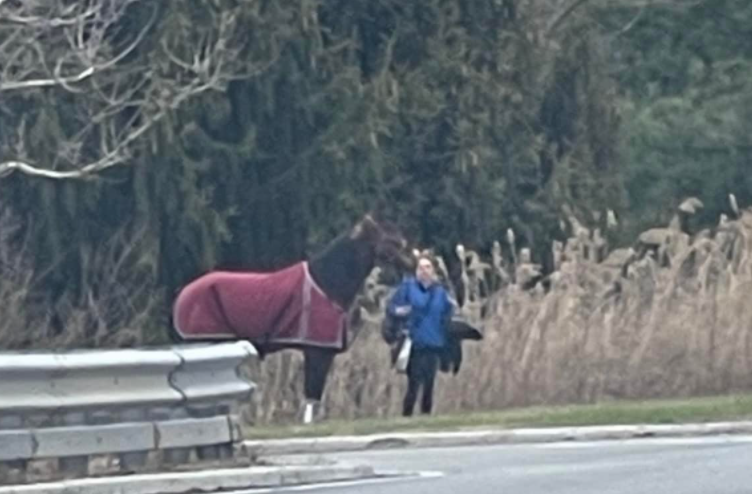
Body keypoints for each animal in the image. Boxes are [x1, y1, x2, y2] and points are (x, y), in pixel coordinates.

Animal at [170, 210, 414, 422]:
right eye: (393, 241)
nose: (412, 264)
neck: (327, 283)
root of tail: (183, 296)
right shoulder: (318, 352)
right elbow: (311, 398)